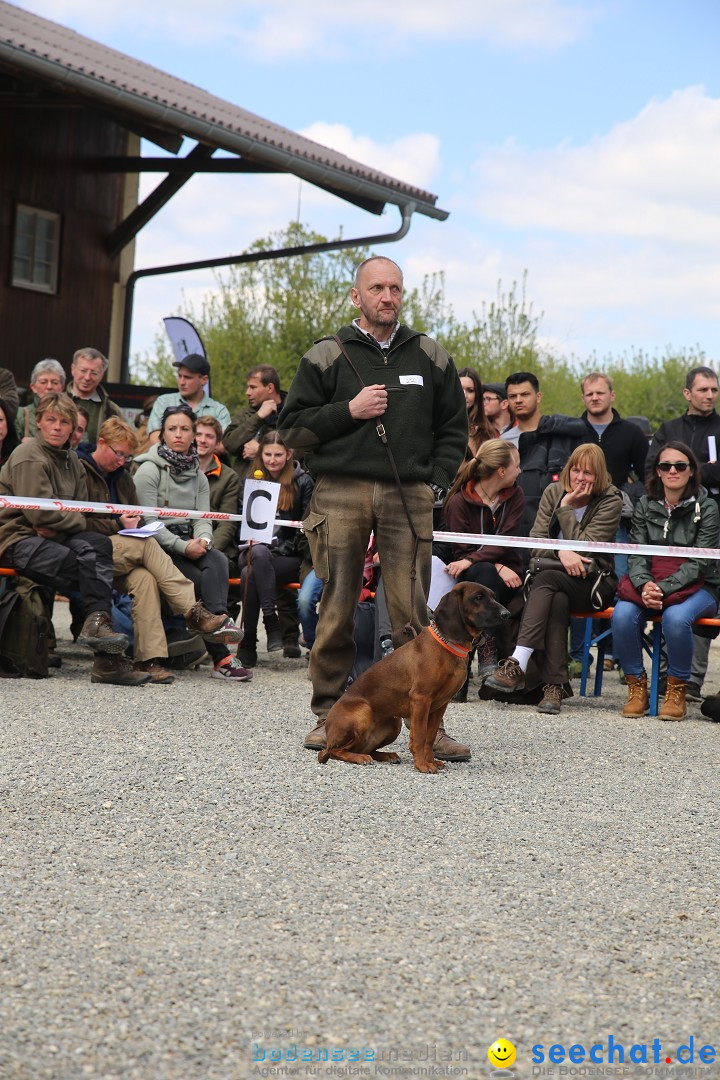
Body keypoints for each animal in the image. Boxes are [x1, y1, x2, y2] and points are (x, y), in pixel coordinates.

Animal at [317, 587, 509, 773]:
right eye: (478, 597)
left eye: (492, 596)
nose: (506, 614)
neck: (446, 647)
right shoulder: (420, 700)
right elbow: (419, 737)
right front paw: (422, 765)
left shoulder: (441, 705)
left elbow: (430, 737)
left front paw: (431, 760)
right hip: (362, 712)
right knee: (331, 751)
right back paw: (358, 758)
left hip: (394, 723)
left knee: (363, 748)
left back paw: (386, 755)